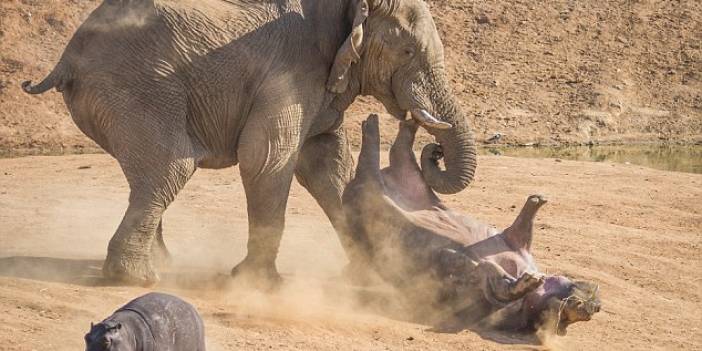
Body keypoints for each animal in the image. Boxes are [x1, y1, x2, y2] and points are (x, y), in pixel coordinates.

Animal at [24, 0, 482, 286]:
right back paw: (136, 279)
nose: (433, 149)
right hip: (135, 88)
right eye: (407, 52)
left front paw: (367, 274)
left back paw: (159, 265)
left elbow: (327, 165)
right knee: (172, 167)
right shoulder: (291, 68)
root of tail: (66, 58)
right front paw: (258, 283)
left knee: (150, 175)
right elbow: (267, 158)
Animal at [344, 115, 604, 336]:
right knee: (396, 148)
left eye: (572, 316)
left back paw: (374, 124)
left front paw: (528, 280)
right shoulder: (514, 239)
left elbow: (491, 279)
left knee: (379, 156)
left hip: (372, 189)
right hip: (395, 176)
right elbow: (519, 230)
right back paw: (388, 123)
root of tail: (351, 187)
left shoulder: (481, 285)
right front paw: (538, 200)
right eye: (580, 313)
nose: (594, 305)